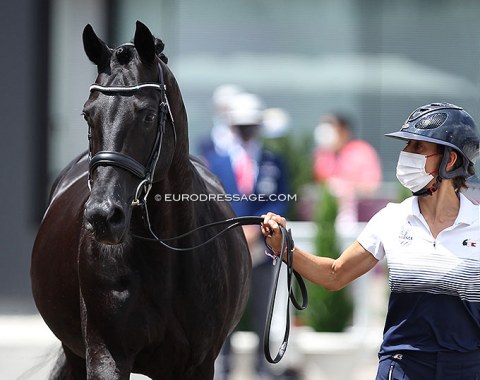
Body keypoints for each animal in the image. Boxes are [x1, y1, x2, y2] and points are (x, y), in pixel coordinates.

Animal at [31, 21, 251, 380]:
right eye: (87, 115)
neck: (167, 256)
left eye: (147, 115)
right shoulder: (107, 354)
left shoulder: (197, 363)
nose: (104, 216)